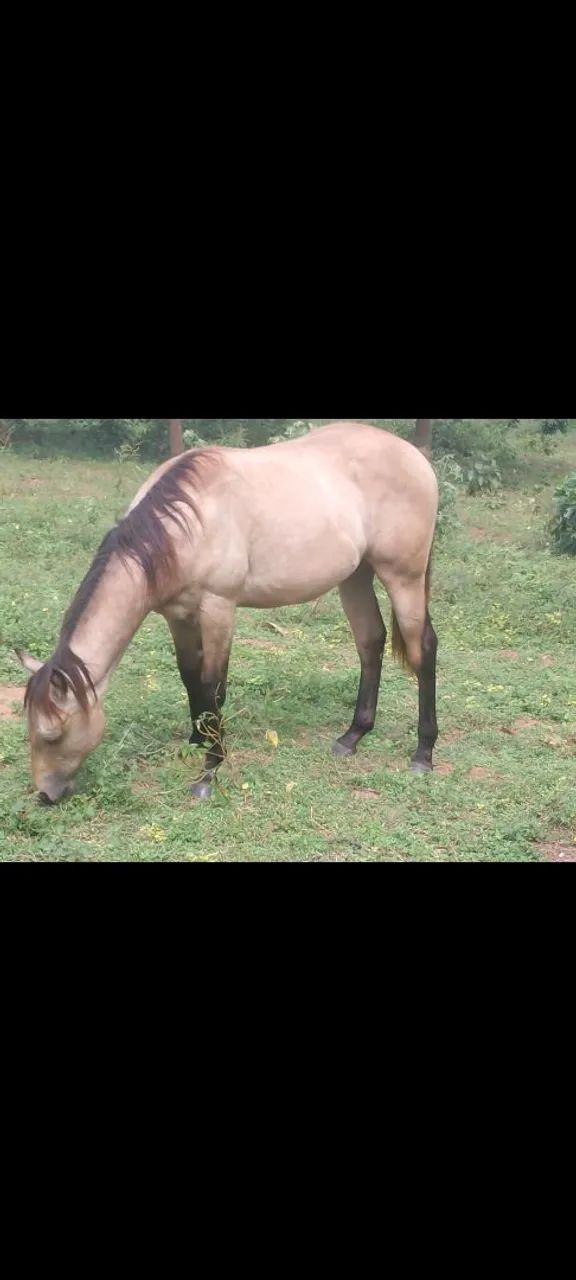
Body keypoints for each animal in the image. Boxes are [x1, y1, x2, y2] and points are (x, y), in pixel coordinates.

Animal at [16, 422, 439, 804]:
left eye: (53, 734)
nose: (45, 795)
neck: (187, 522)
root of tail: (416, 457)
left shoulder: (218, 608)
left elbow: (213, 685)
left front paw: (210, 769)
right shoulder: (178, 617)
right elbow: (190, 678)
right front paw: (196, 740)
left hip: (403, 577)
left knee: (423, 650)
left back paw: (423, 754)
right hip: (356, 576)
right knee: (370, 642)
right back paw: (352, 737)